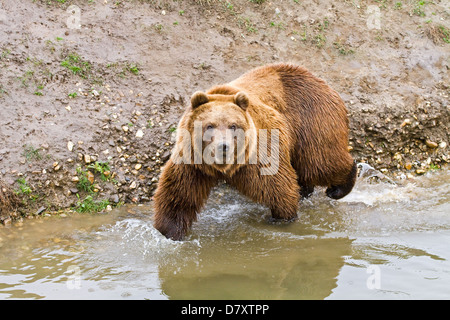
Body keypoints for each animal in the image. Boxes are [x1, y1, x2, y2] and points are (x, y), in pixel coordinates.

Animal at [153, 63, 356, 240]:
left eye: (233, 125)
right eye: (209, 125)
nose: (223, 145)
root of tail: (320, 80)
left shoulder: (258, 152)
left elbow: (277, 187)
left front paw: (280, 217)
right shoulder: (192, 161)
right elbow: (179, 195)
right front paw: (169, 231)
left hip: (312, 120)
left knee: (321, 162)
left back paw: (338, 187)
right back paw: (306, 191)